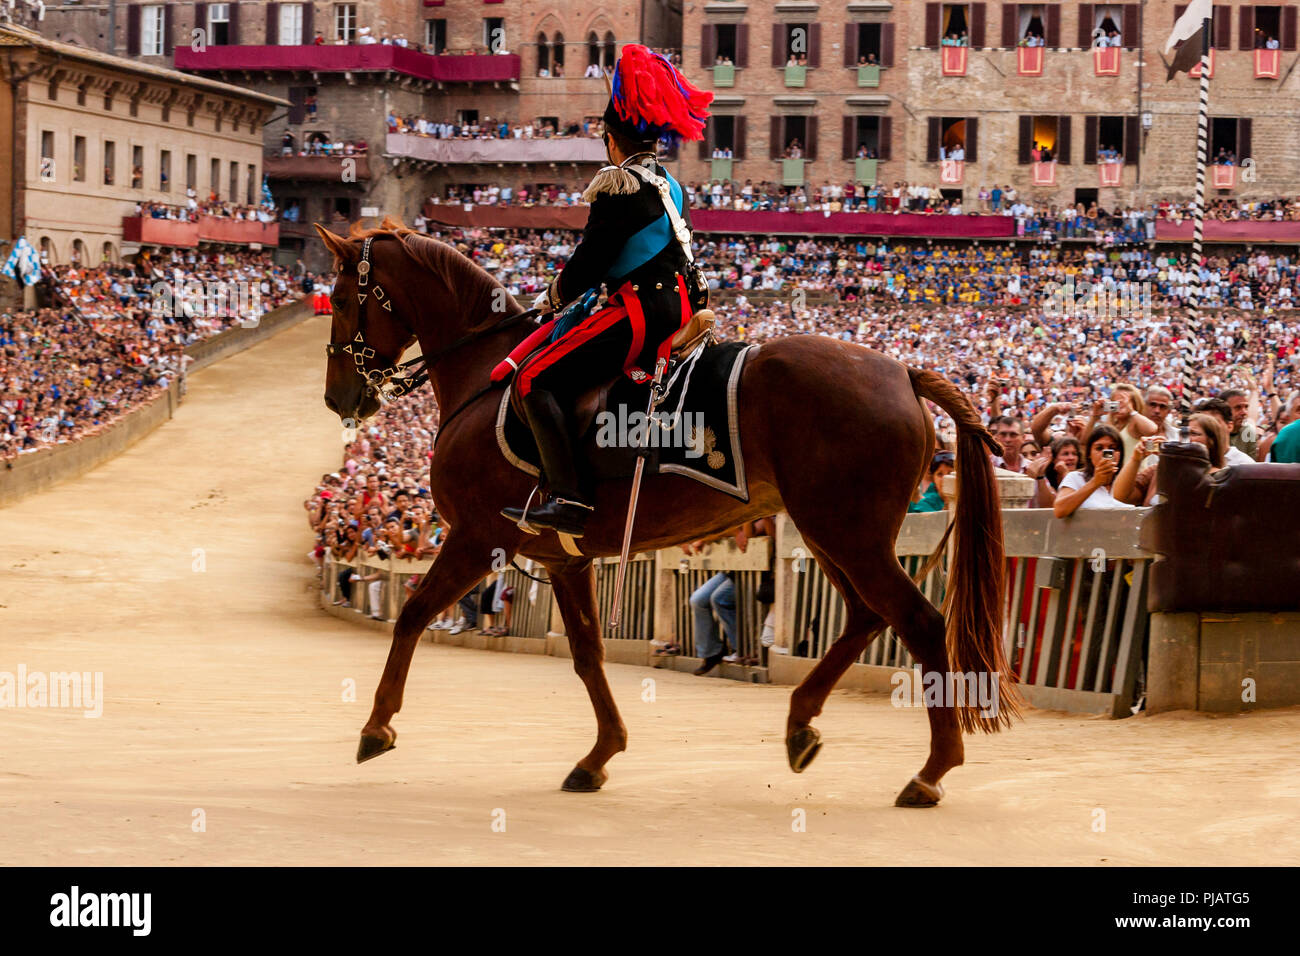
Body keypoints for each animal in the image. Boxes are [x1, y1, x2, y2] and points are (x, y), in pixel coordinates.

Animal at [314, 221, 1013, 806]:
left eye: (343, 299)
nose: (338, 397)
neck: (487, 378)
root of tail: (902, 372)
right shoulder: (562, 559)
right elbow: (587, 652)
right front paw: (599, 755)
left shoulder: (475, 538)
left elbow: (411, 616)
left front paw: (376, 726)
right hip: (831, 532)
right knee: (870, 616)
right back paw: (801, 724)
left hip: (848, 533)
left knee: (919, 623)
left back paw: (930, 771)